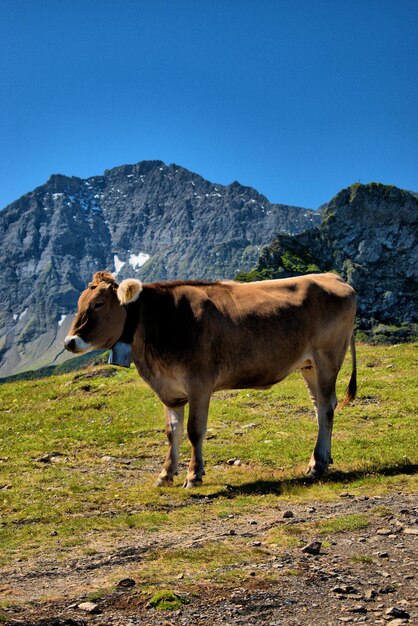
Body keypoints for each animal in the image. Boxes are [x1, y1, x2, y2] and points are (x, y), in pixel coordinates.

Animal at [64, 270, 356, 486]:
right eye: (78, 304)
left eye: (98, 304)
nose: (69, 341)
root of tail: (332, 276)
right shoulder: (169, 390)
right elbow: (172, 431)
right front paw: (165, 474)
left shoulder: (199, 384)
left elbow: (194, 430)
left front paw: (194, 475)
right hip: (308, 365)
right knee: (320, 407)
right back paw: (319, 461)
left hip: (327, 357)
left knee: (327, 408)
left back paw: (318, 464)